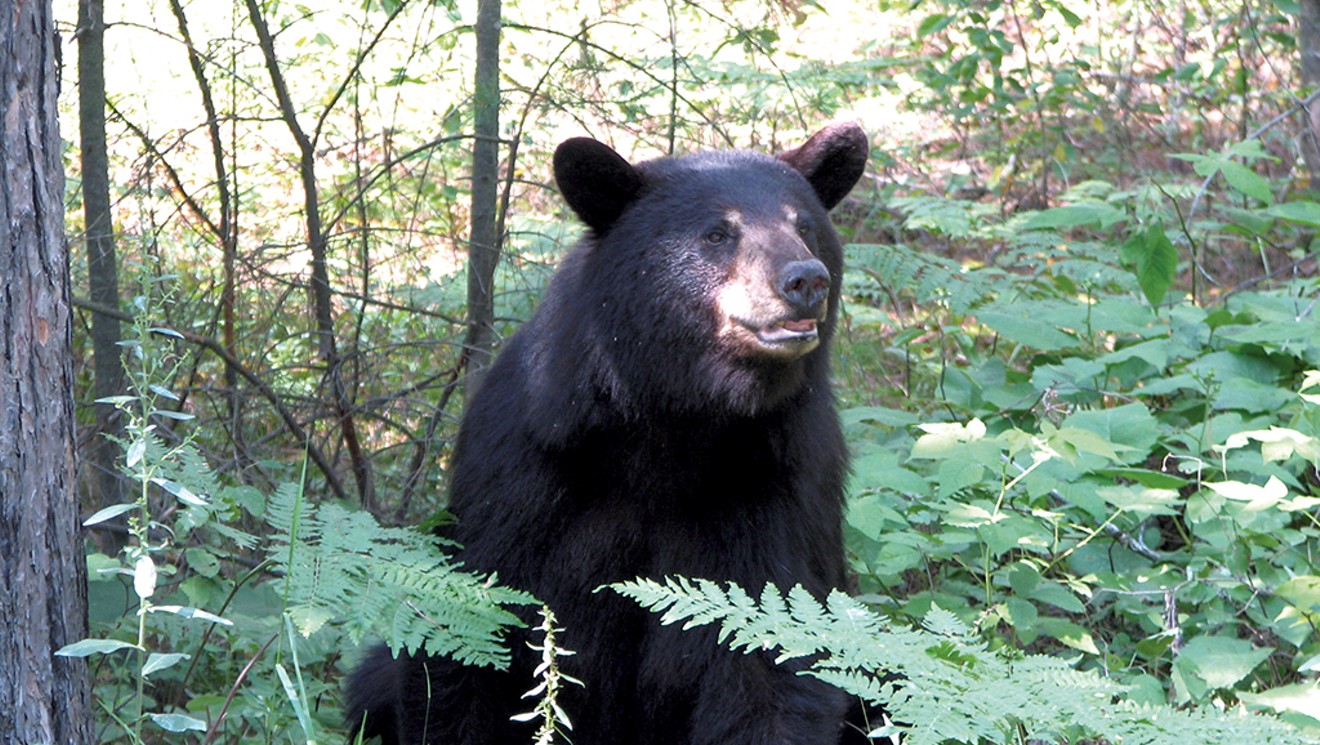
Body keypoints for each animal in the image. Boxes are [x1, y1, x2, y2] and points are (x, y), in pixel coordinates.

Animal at [345, 124, 871, 739]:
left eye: (804, 226)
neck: (676, 420)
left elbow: (774, 659)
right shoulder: (523, 471)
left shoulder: (783, 479)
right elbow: (470, 635)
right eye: (718, 233)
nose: (805, 279)